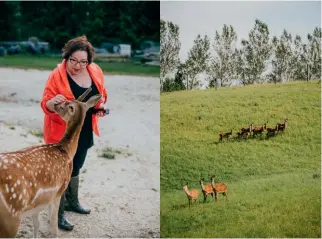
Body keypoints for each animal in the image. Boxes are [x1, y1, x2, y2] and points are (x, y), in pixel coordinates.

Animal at [0, 87, 101, 237]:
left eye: (66, 103)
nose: (55, 104)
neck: (65, 150)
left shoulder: (36, 204)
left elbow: (37, 225)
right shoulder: (59, 190)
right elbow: (53, 228)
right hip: (13, 212)